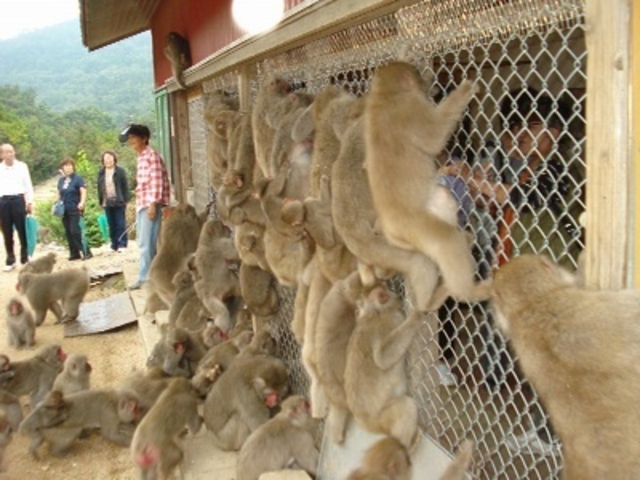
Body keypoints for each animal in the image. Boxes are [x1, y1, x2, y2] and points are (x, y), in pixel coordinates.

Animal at [342, 284, 422, 448]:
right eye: (385, 291)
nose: (396, 293)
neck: (374, 311)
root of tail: (366, 423)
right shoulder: (391, 322)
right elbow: (382, 358)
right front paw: (417, 316)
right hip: (383, 418)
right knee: (407, 407)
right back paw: (408, 446)